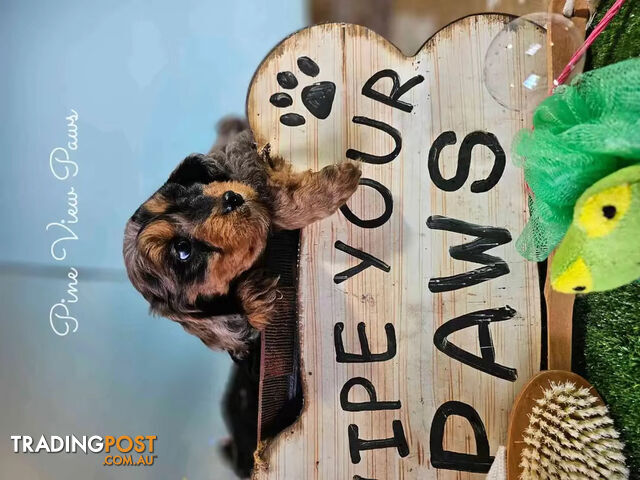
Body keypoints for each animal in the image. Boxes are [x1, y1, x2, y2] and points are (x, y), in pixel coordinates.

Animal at [123, 124, 362, 356]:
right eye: (183, 250)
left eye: (188, 192)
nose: (232, 199)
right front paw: (253, 298)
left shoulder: (237, 156)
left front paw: (338, 182)